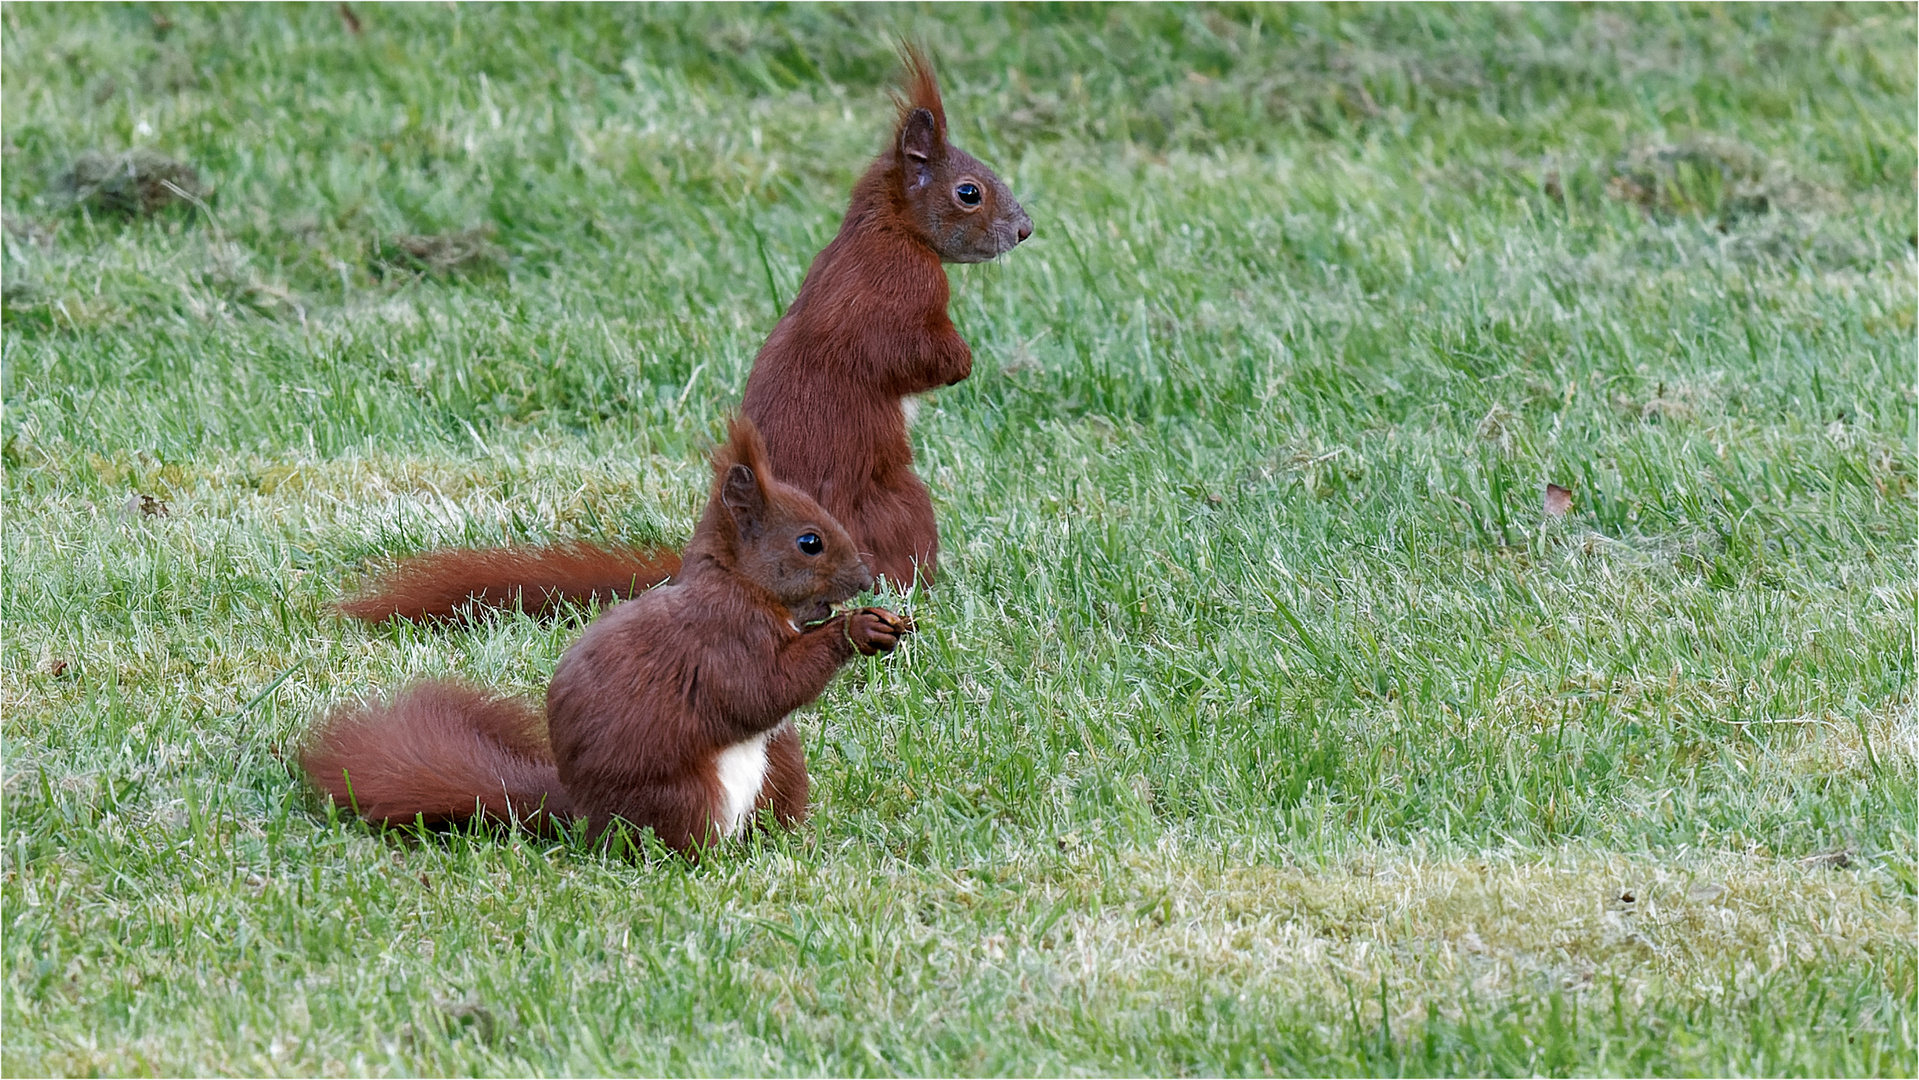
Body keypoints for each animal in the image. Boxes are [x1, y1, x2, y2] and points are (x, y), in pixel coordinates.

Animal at [301, 418, 913, 859]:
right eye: (810, 542)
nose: (866, 578)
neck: (740, 585)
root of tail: (585, 821)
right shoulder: (720, 638)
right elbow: (761, 688)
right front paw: (856, 629)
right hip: (682, 795)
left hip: (780, 768)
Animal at [345, 48, 1036, 625]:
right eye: (969, 193)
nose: (1026, 230)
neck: (887, 226)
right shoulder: (898, 290)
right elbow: (909, 356)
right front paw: (963, 360)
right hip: (898, 503)